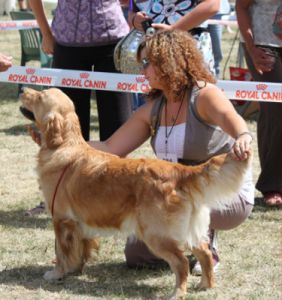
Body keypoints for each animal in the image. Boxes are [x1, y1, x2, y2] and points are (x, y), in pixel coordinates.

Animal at [20, 87, 251, 300]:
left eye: (40, 96)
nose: (22, 89)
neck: (64, 145)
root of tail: (180, 171)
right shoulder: (80, 223)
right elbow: (80, 249)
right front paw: (75, 270)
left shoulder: (61, 220)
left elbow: (61, 251)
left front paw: (56, 273)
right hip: (187, 230)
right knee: (204, 252)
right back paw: (206, 284)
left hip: (156, 234)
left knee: (182, 261)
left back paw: (177, 292)